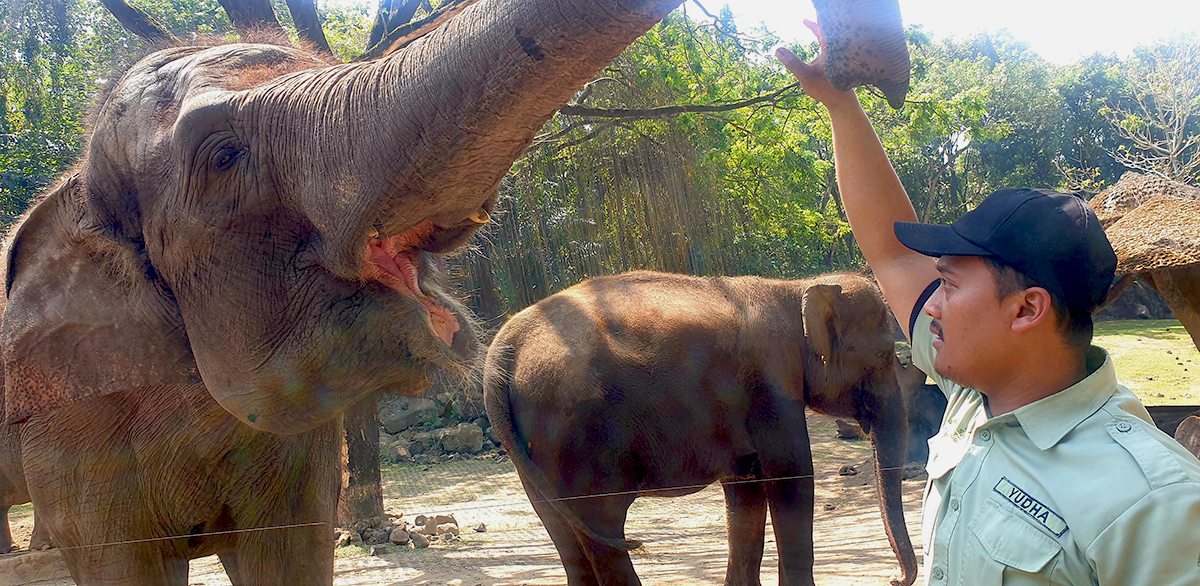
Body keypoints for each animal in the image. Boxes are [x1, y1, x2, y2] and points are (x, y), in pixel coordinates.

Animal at [482, 272, 912, 586]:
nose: (893, 578)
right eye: (885, 354)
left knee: (565, 535)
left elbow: (746, 492)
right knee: (603, 528)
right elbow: (791, 478)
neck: (793, 289)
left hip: (532, 456)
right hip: (576, 438)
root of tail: (501, 351)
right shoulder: (771, 387)